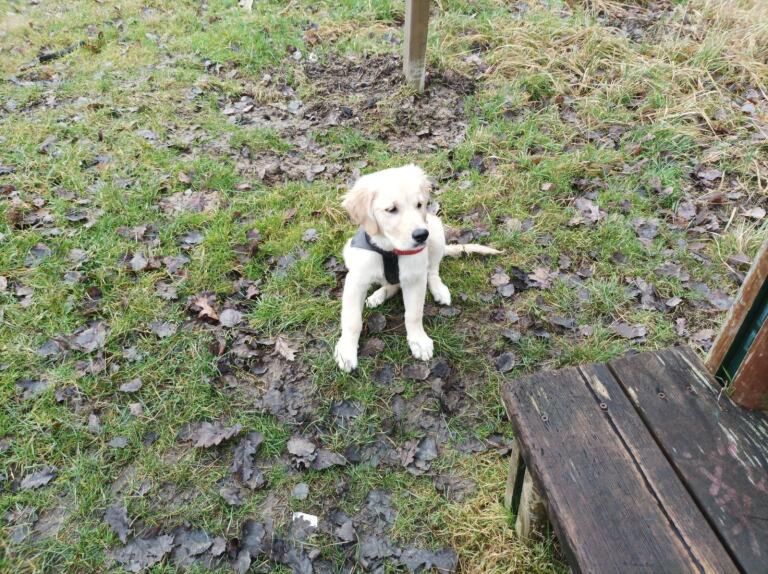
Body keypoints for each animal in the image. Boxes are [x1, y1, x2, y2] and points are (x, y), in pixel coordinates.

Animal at [332, 165, 500, 374]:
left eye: (420, 205)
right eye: (391, 209)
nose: (421, 235)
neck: (391, 250)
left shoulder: (415, 279)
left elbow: (413, 314)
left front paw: (418, 341)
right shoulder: (356, 281)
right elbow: (352, 319)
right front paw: (346, 351)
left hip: (435, 230)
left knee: (432, 271)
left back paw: (438, 290)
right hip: (349, 250)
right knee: (392, 284)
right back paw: (377, 296)